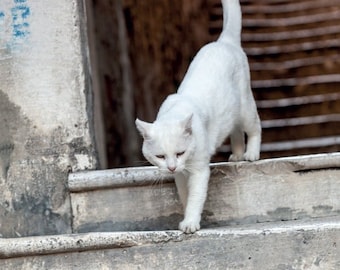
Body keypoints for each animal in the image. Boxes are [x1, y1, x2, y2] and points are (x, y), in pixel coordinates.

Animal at [135, 0, 260, 232]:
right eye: (160, 157)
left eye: (180, 152)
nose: (171, 167)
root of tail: (224, 42)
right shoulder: (181, 175)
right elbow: (185, 196)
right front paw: (186, 215)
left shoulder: (199, 170)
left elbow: (196, 197)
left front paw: (190, 222)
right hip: (231, 115)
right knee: (236, 131)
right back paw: (237, 154)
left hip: (245, 107)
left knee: (255, 127)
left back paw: (251, 154)